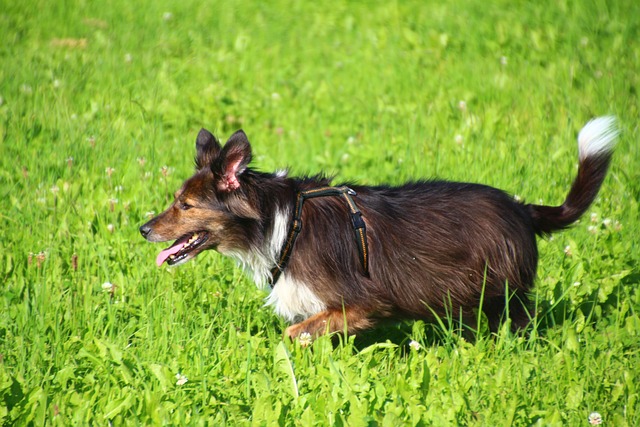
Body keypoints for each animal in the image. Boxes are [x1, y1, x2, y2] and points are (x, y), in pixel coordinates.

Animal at [140, 116, 616, 338]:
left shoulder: (366, 302)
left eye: (185, 205)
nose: (143, 229)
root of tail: (522, 209)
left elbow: (295, 334)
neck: (281, 220)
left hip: (498, 290)